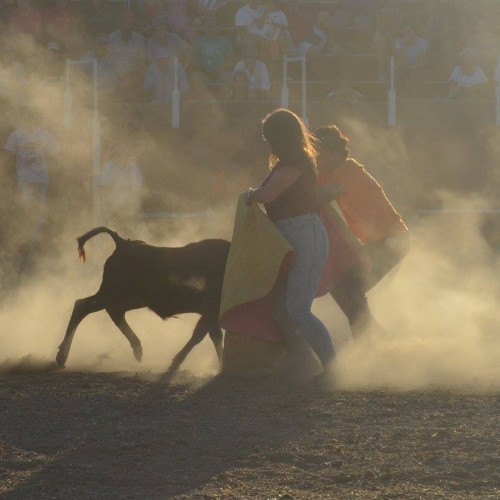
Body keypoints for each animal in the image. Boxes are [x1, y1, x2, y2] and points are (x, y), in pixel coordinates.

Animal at [56, 227, 231, 376]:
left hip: (132, 299)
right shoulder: (210, 311)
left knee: (112, 312)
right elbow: (201, 336)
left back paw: (138, 349)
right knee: (82, 306)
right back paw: (61, 358)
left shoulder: (210, 314)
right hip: (112, 294)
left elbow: (211, 335)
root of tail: (122, 244)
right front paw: (175, 364)